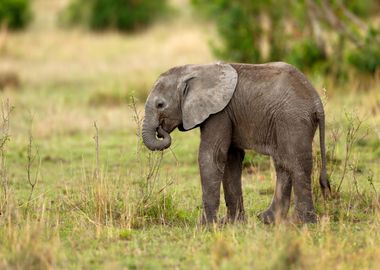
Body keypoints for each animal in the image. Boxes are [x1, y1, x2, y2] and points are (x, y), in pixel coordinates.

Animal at [142, 61, 330, 224]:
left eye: (160, 105)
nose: (160, 130)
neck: (194, 69)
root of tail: (317, 101)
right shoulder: (226, 113)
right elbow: (231, 159)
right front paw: (232, 223)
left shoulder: (219, 113)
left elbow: (211, 156)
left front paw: (205, 225)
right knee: (283, 163)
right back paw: (268, 219)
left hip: (293, 119)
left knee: (296, 164)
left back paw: (302, 223)